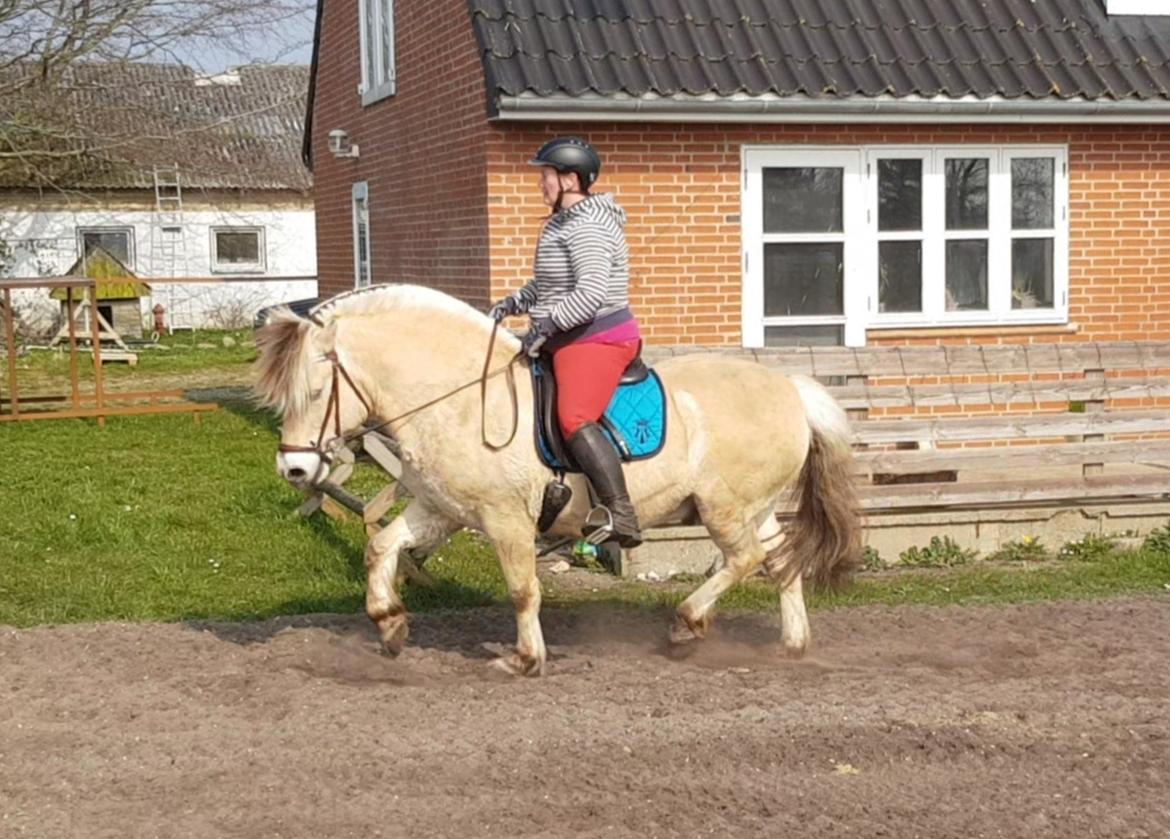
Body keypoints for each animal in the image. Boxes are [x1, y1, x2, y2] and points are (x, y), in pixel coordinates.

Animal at [256, 284, 861, 678]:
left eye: (315, 392)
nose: (294, 470)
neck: (458, 400)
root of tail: (789, 388)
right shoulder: (441, 511)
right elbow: (380, 546)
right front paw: (388, 625)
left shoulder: (505, 520)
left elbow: (523, 589)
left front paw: (525, 658)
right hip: (755, 507)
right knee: (779, 561)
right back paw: (793, 644)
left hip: (724, 507)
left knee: (746, 560)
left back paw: (687, 623)